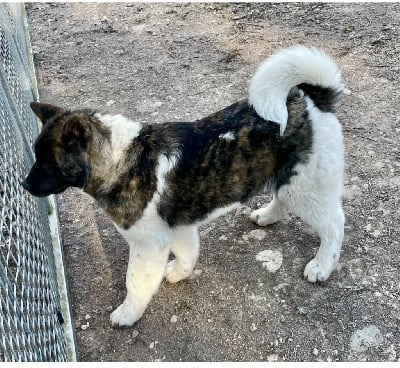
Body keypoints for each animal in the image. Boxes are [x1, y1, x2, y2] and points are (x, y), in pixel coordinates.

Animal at [23, 46, 346, 328]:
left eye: (48, 163)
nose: (24, 185)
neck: (122, 157)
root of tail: (309, 99)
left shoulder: (148, 245)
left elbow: (135, 283)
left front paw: (127, 314)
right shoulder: (176, 226)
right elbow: (187, 254)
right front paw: (179, 274)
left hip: (306, 189)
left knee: (334, 225)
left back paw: (322, 265)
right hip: (290, 180)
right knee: (283, 199)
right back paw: (267, 216)